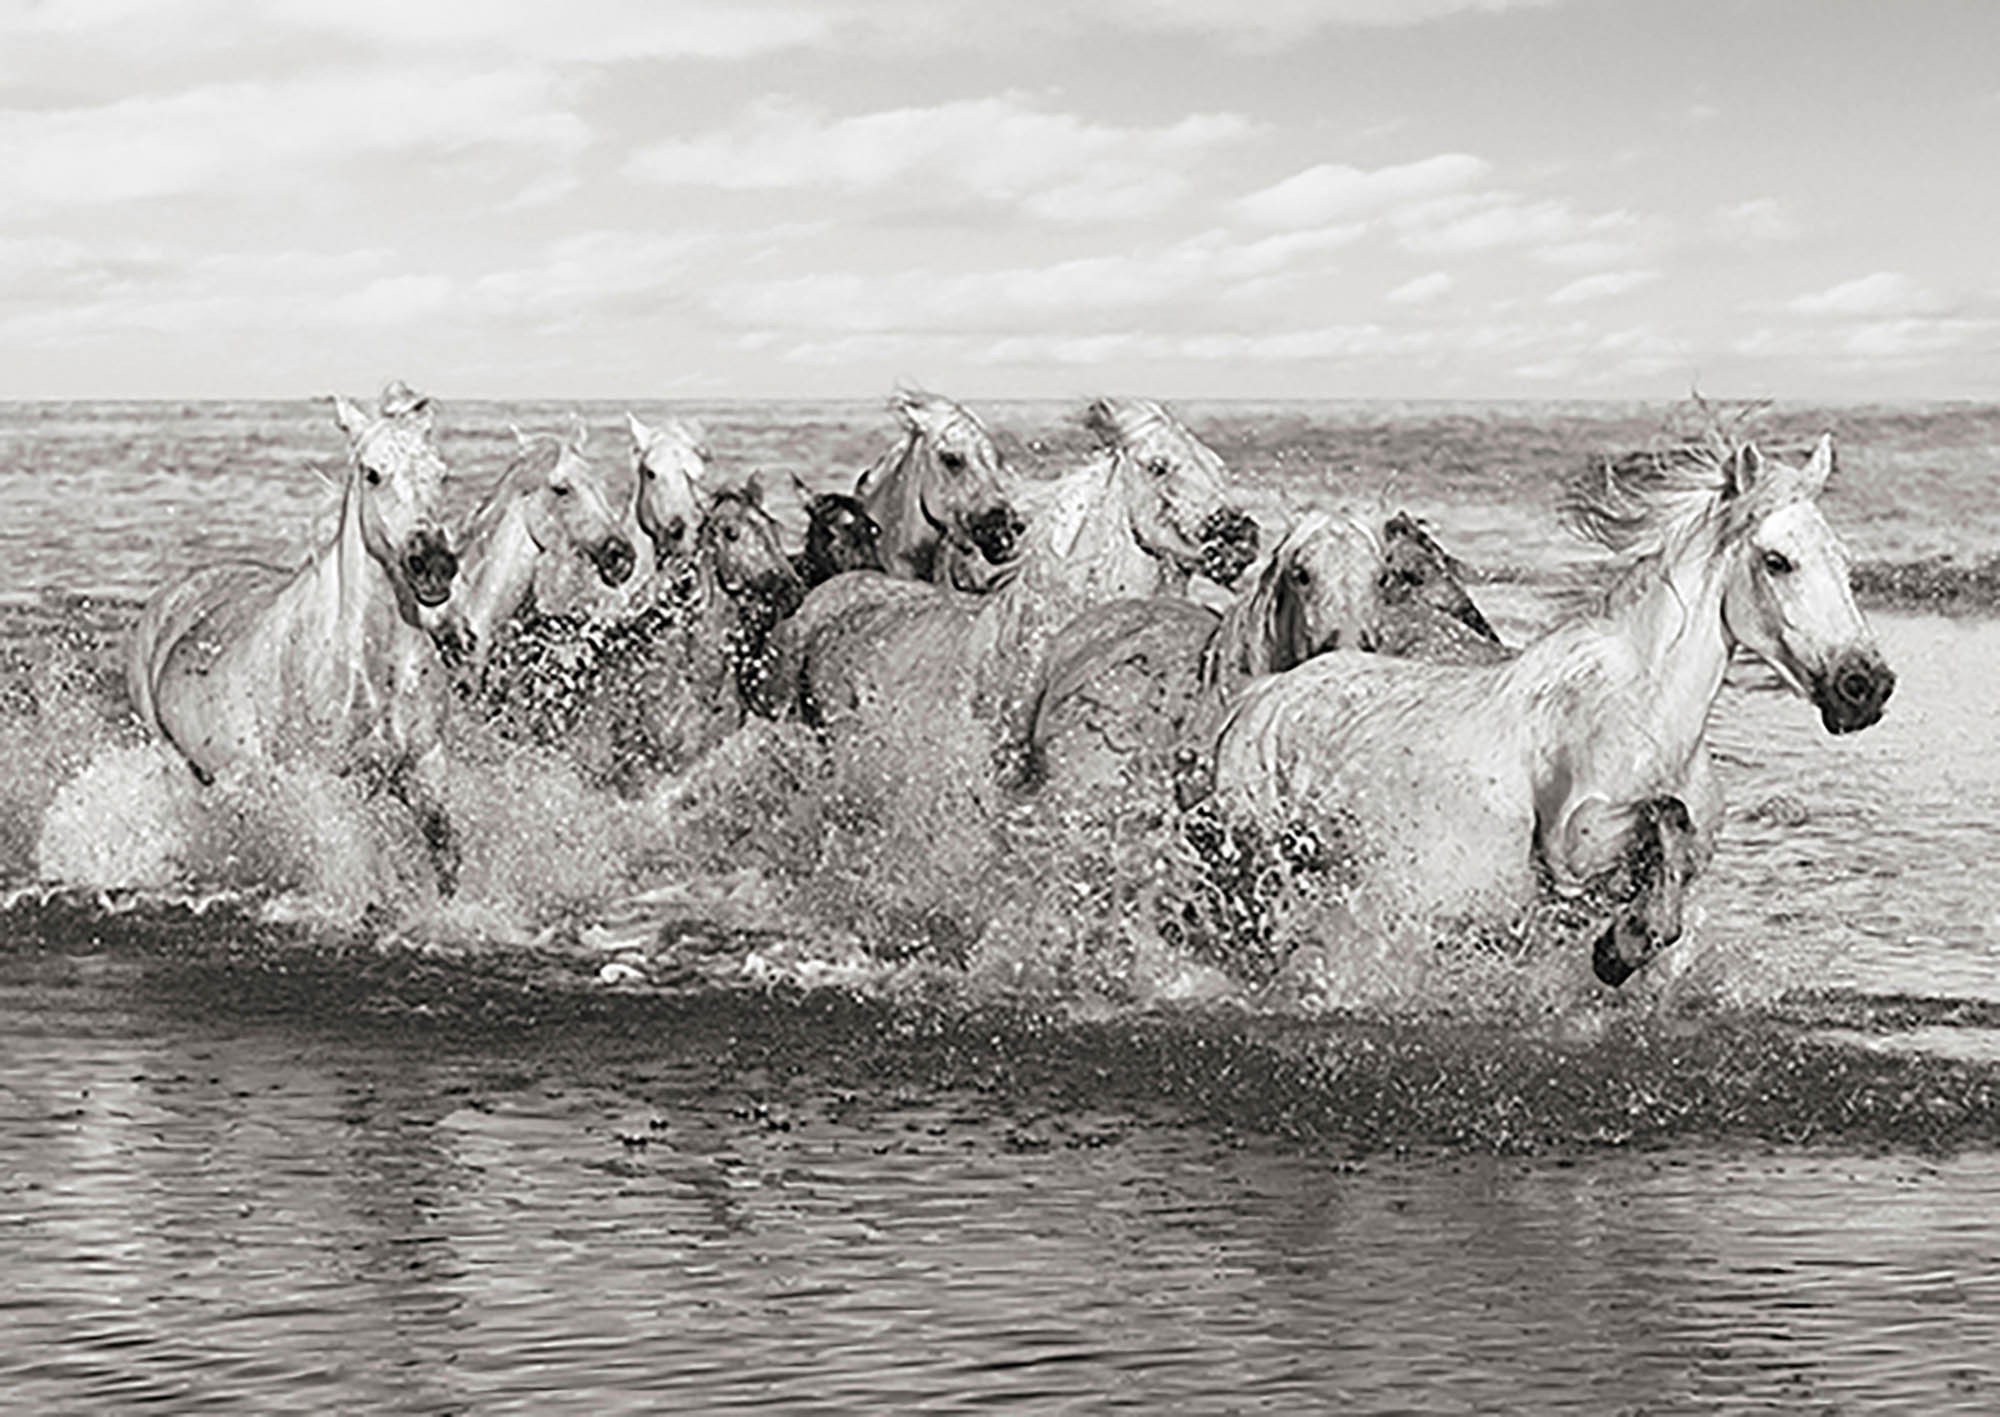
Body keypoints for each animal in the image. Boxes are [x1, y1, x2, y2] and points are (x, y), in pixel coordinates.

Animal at [125, 381, 463, 891]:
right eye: (372, 474)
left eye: (441, 475)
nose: (434, 566)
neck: (368, 666)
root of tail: (174, 593)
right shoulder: (328, 783)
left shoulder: (425, 765)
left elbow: (445, 852)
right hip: (178, 765)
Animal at [1190, 433, 1895, 986]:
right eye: (1778, 561)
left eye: (1845, 563)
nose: (1866, 686)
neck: (1648, 718)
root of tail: (1260, 698)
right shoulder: (1572, 846)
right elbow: (1664, 817)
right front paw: (1619, 950)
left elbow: (1675, 861)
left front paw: (1624, 945)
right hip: (1260, 868)